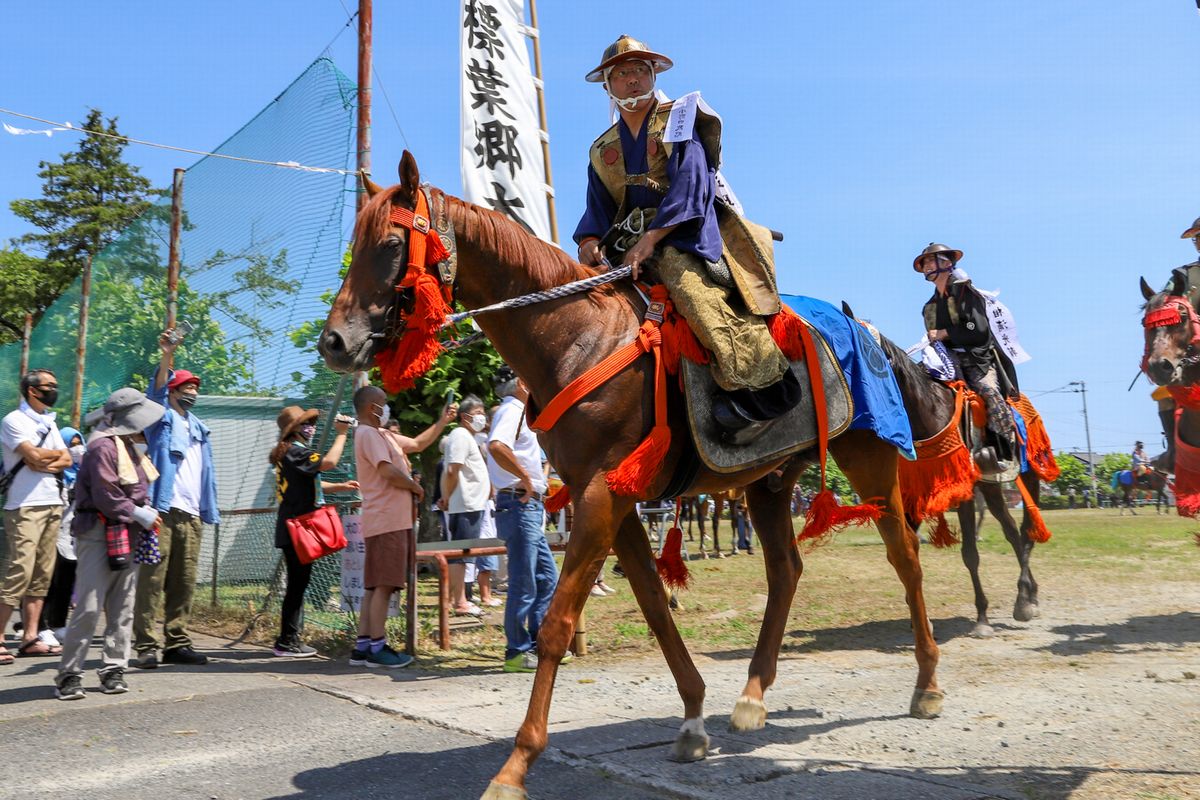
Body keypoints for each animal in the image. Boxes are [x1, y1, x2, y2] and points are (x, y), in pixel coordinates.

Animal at [319, 154, 945, 800]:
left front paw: (516, 765)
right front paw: (692, 718)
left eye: (391, 245)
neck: (576, 337)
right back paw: (752, 696)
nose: (335, 342)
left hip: (871, 460)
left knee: (905, 559)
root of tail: (862, 328)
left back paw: (925, 684)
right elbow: (652, 603)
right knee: (786, 570)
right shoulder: (610, 499)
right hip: (769, 481)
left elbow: (557, 624)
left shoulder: (600, 497)